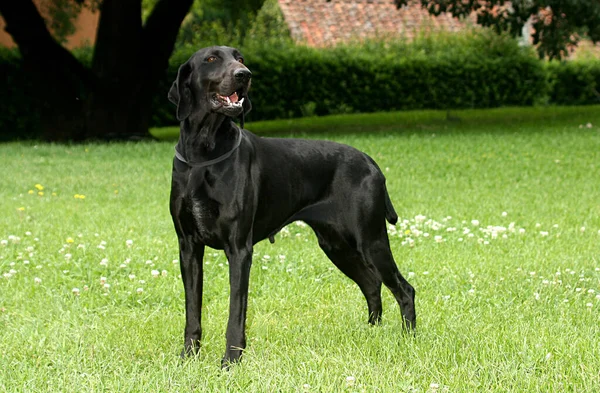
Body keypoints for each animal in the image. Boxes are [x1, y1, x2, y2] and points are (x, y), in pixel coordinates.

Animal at [166, 46, 414, 368]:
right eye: (211, 59)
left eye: (240, 59)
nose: (244, 75)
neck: (203, 153)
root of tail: (372, 163)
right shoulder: (188, 247)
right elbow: (192, 310)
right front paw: (188, 356)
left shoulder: (239, 249)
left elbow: (236, 313)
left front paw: (231, 361)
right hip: (336, 244)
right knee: (372, 284)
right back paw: (371, 332)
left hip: (371, 240)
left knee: (404, 289)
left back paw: (408, 338)